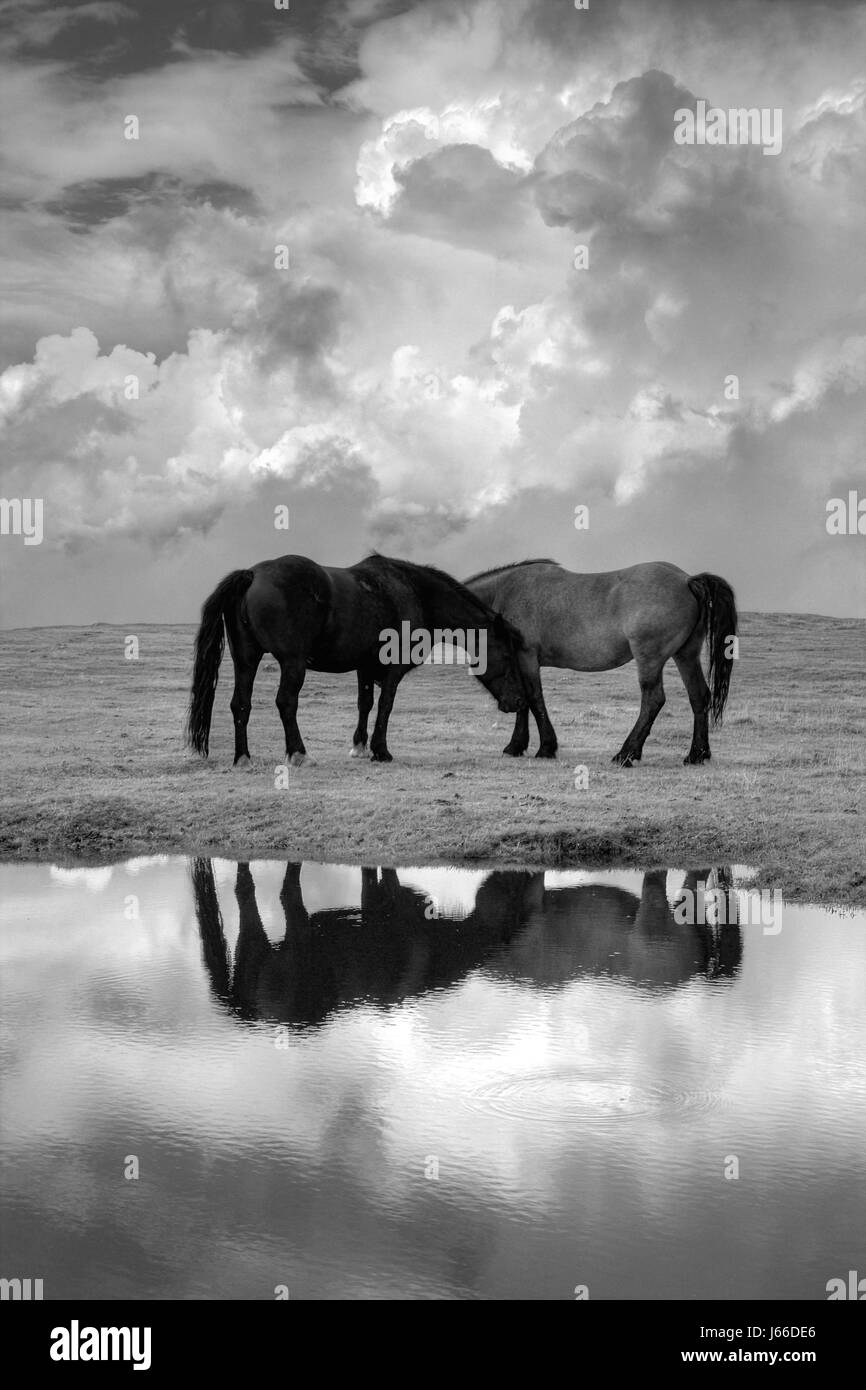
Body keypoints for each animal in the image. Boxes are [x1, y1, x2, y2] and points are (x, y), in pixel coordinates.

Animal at [186, 550, 528, 767]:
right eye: (507, 656)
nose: (518, 701)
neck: (414, 593)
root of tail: (253, 574)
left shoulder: (365, 667)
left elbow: (365, 704)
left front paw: (360, 747)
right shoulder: (392, 671)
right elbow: (386, 705)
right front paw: (381, 751)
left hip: (246, 659)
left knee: (240, 704)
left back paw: (242, 757)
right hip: (292, 663)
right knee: (286, 703)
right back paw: (299, 754)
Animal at [467, 556, 739, 772]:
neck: (505, 592)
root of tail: (686, 580)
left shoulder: (526, 657)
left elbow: (533, 699)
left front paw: (545, 748)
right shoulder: (519, 663)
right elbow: (524, 700)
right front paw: (516, 745)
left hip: (650, 659)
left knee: (653, 700)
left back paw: (626, 754)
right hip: (686, 655)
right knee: (699, 697)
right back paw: (696, 754)